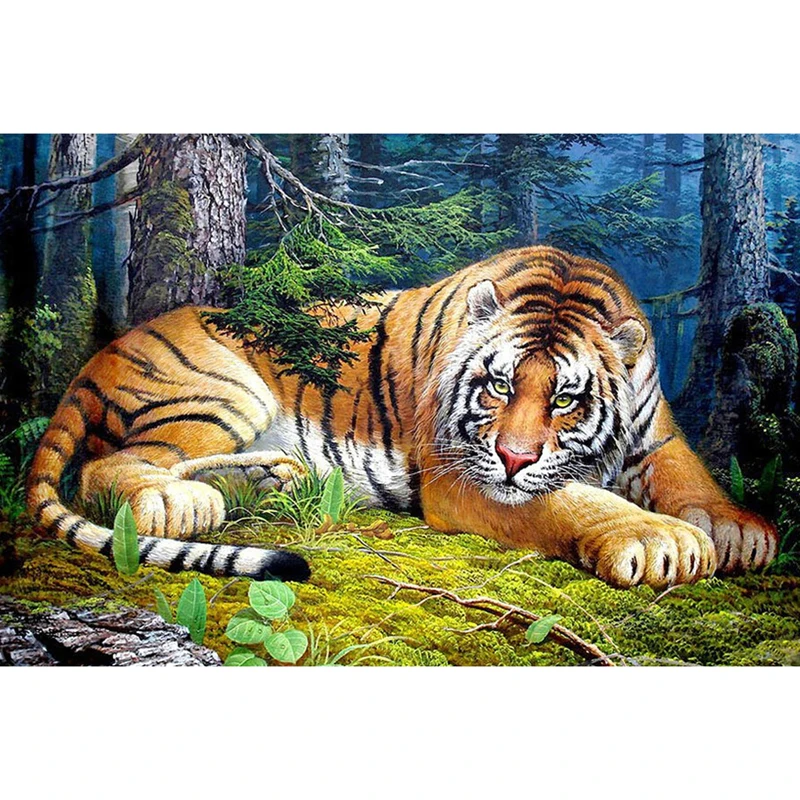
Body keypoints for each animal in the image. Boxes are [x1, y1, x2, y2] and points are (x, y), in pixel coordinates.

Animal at [27, 245, 778, 588]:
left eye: (565, 399)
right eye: (497, 387)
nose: (515, 457)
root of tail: (98, 356)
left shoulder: (659, 436)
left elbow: (691, 477)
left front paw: (742, 531)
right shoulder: (462, 475)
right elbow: (573, 500)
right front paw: (658, 540)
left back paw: (267, 479)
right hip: (220, 388)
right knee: (110, 466)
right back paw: (183, 504)